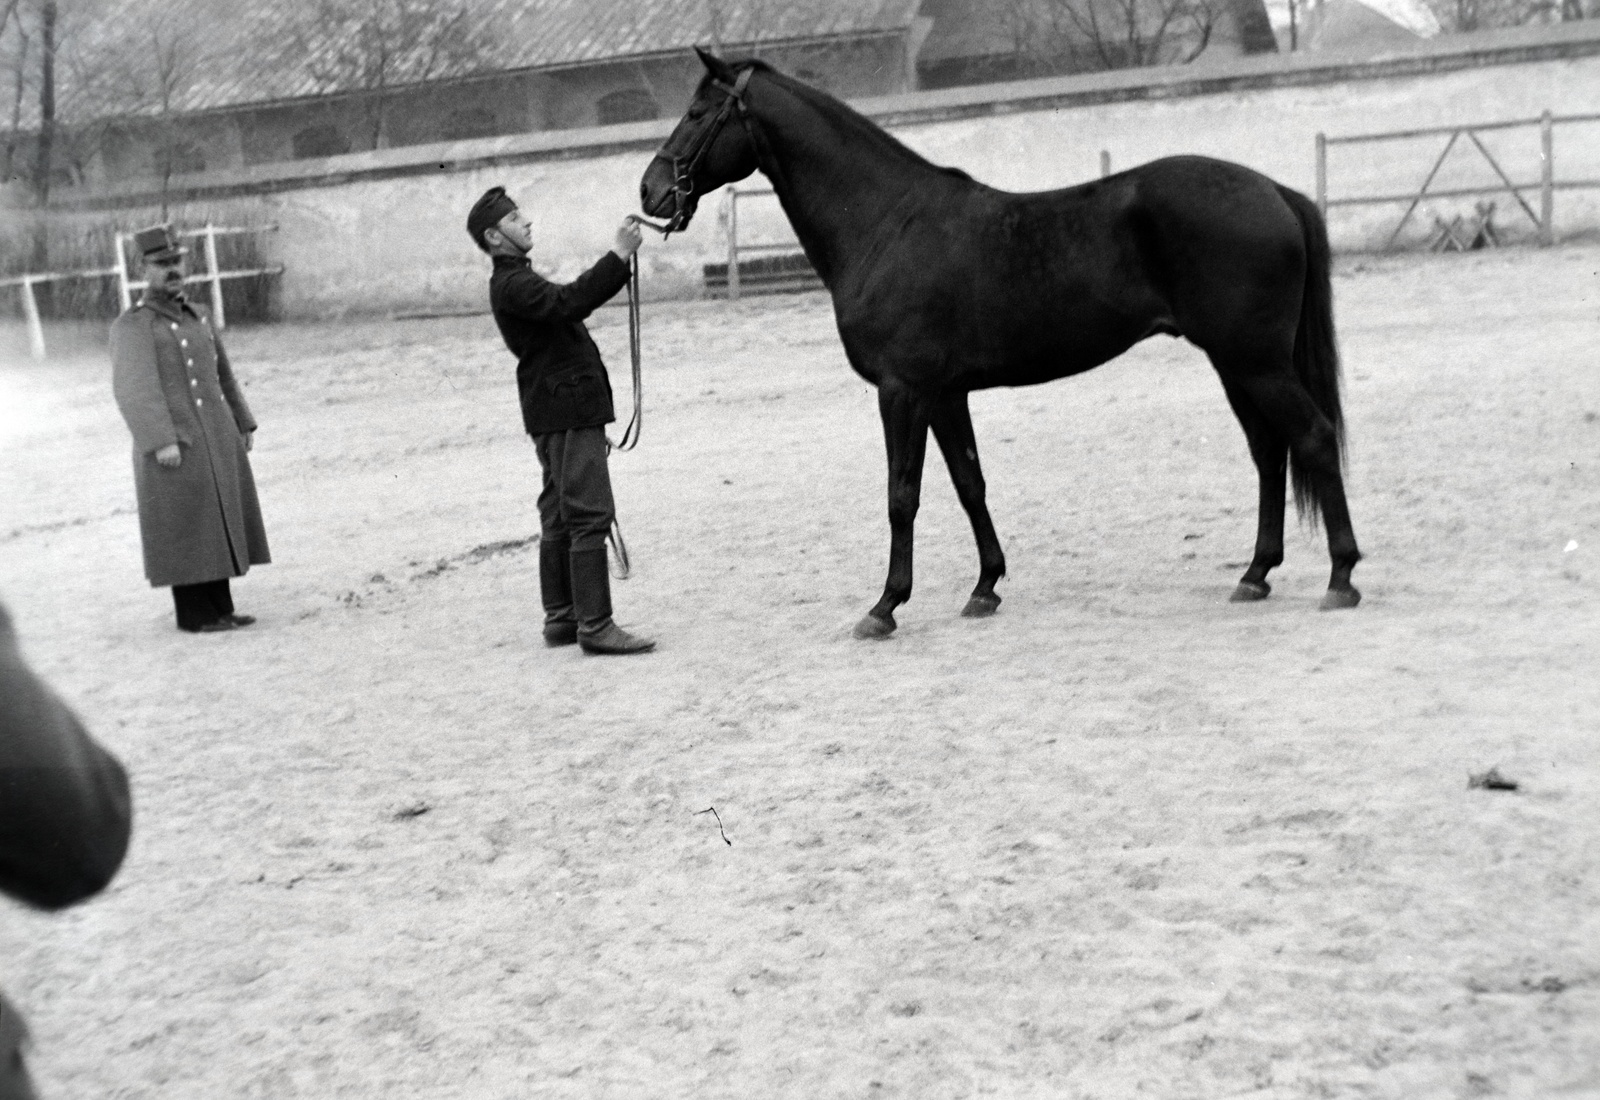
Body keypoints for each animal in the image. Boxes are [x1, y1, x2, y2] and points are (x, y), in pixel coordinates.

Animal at [641, 49, 1362, 639]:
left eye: (698, 112)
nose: (651, 191)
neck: (886, 222)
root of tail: (1274, 191)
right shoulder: (944, 394)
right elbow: (970, 483)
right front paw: (985, 588)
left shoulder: (902, 392)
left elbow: (902, 494)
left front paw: (885, 607)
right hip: (1235, 363)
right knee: (1269, 451)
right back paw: (1256, 574)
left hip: (1254, 362)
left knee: (1312, 437)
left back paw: (1341, 578)